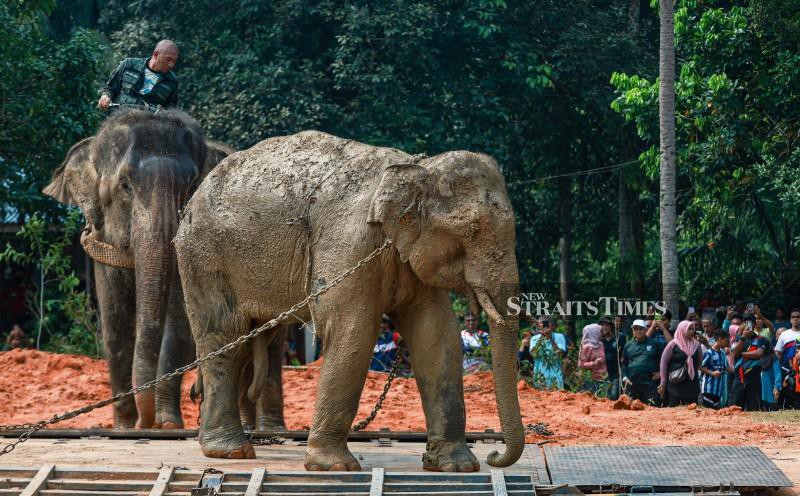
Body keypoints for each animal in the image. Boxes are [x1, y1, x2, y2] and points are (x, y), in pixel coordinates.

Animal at [43, 109, 231, 429]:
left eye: (192, 185)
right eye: (125, 185)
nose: (146, 423)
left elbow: (179, 325)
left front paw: (168, 425)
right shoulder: (102, 246)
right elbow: (115, 326)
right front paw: (124, 427)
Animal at [174, 130, 524, 470]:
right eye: (473, 229)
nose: (494, 457)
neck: (415, 169)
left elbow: (437, 335)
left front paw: (456, 466)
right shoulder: (348, 241)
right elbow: (352, 331)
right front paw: (334, 467)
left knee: (244, 344)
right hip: (203, 256)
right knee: (225, 339)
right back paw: (230, 451)